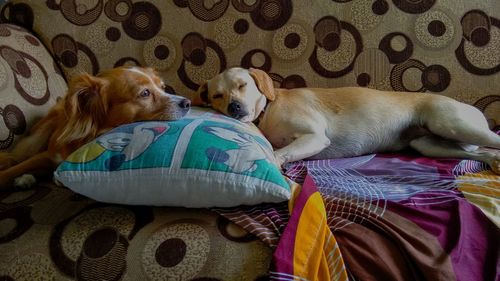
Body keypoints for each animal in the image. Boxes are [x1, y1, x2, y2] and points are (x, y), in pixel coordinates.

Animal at [0, 66, 191, 189]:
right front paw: (12, 175)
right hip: (35, 139)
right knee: (15, 158)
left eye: (163, 87)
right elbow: (13, 169)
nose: (187, 102)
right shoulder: (47, 154)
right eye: (145, 93)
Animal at [195, 67, 500, 174]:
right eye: (217, 95)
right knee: (484, 153)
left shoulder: (315, 137)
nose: (234, 106)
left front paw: (276, 160)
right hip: (429, 144)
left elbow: (279, 152)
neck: (267, 111)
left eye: (243, 85)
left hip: (450, 124)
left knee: (495, 141)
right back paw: (494, 162)